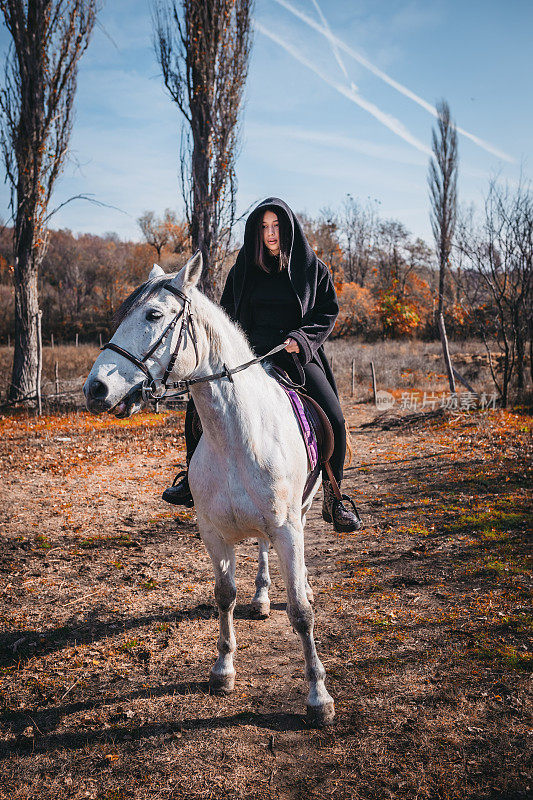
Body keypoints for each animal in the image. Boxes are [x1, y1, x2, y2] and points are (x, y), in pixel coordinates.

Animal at [82, 255, 332, 724]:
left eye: (153, 315)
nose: (95, 389)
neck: (237, 435)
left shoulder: (288, 528)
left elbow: (302, 614)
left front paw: (318, 697)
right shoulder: (214, 533)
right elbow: (224, 596)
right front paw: (223, 670)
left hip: (302, 513)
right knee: (261, 552)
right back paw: (261, 597)